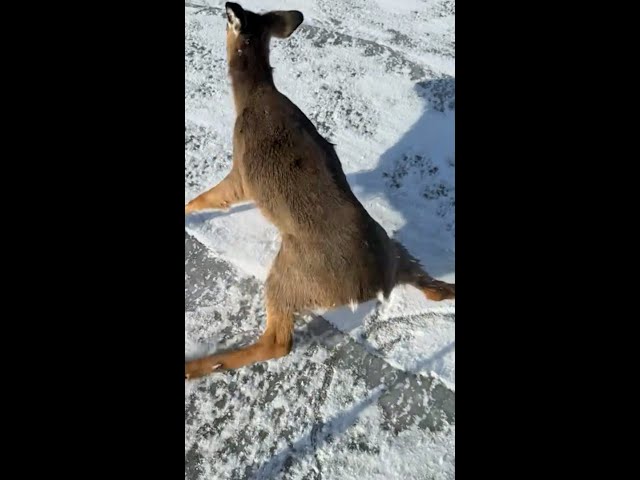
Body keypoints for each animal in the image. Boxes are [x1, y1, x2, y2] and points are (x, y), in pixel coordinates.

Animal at [185, 2, 456, 378]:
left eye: (229, 18)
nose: (226, 6)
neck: (253, 96)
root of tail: (377, 285)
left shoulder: (241, 173)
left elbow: (209, 197)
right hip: (396, 248)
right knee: (435, 288)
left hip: (291, 276)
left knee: (279, 342)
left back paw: (197, 365)